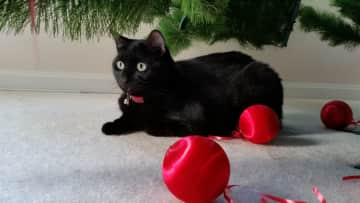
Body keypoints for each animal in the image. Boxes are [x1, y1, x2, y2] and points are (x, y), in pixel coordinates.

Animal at [100, 30, 282, 137]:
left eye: (141, 66)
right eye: (120, 64)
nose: (125, 78)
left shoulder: (194, 122)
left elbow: (151, 125)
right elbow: (128, 117)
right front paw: (111, 126)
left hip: (256, 75)